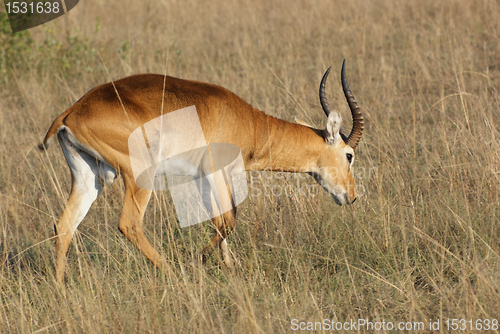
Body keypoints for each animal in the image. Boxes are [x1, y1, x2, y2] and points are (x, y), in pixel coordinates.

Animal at [39, 58, 364, 280]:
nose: (352, 196)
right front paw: (199, 262)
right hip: (139, 175)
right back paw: (173, 273)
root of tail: (70, 113)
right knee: (128, 223)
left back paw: (61, 288)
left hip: (88, 177)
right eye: (349, 155)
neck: (252, 125)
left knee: (64, 225)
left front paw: (230, 268)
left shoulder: (201, 178)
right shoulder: (216, 170)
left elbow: (219, 220)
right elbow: (228, 220)